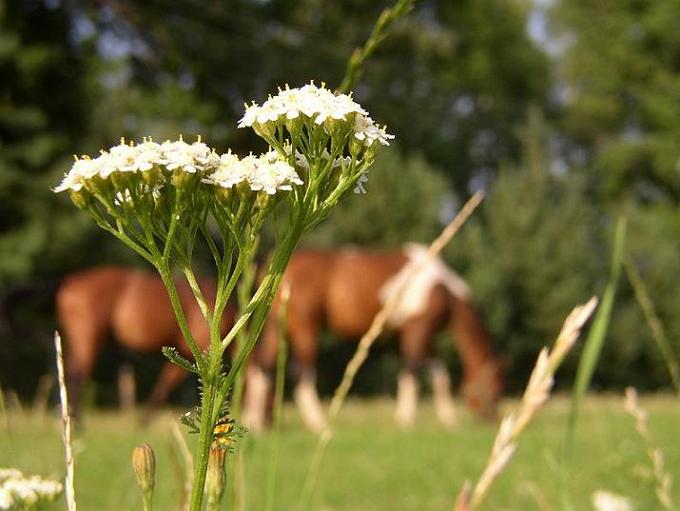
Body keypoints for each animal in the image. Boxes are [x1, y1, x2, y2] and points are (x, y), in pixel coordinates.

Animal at [244, 244, 504, 432]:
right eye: (496, 384)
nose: (494, 419)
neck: (441, 288)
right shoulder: (417, 332)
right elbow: (411, 373)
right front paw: (405, 420)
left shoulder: (418, 339)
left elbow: (439, 375)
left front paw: (449, 420)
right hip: (305, 330)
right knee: (301, 374)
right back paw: (319, 424)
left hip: (275, 328)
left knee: (261, 367)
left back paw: (255, 423)